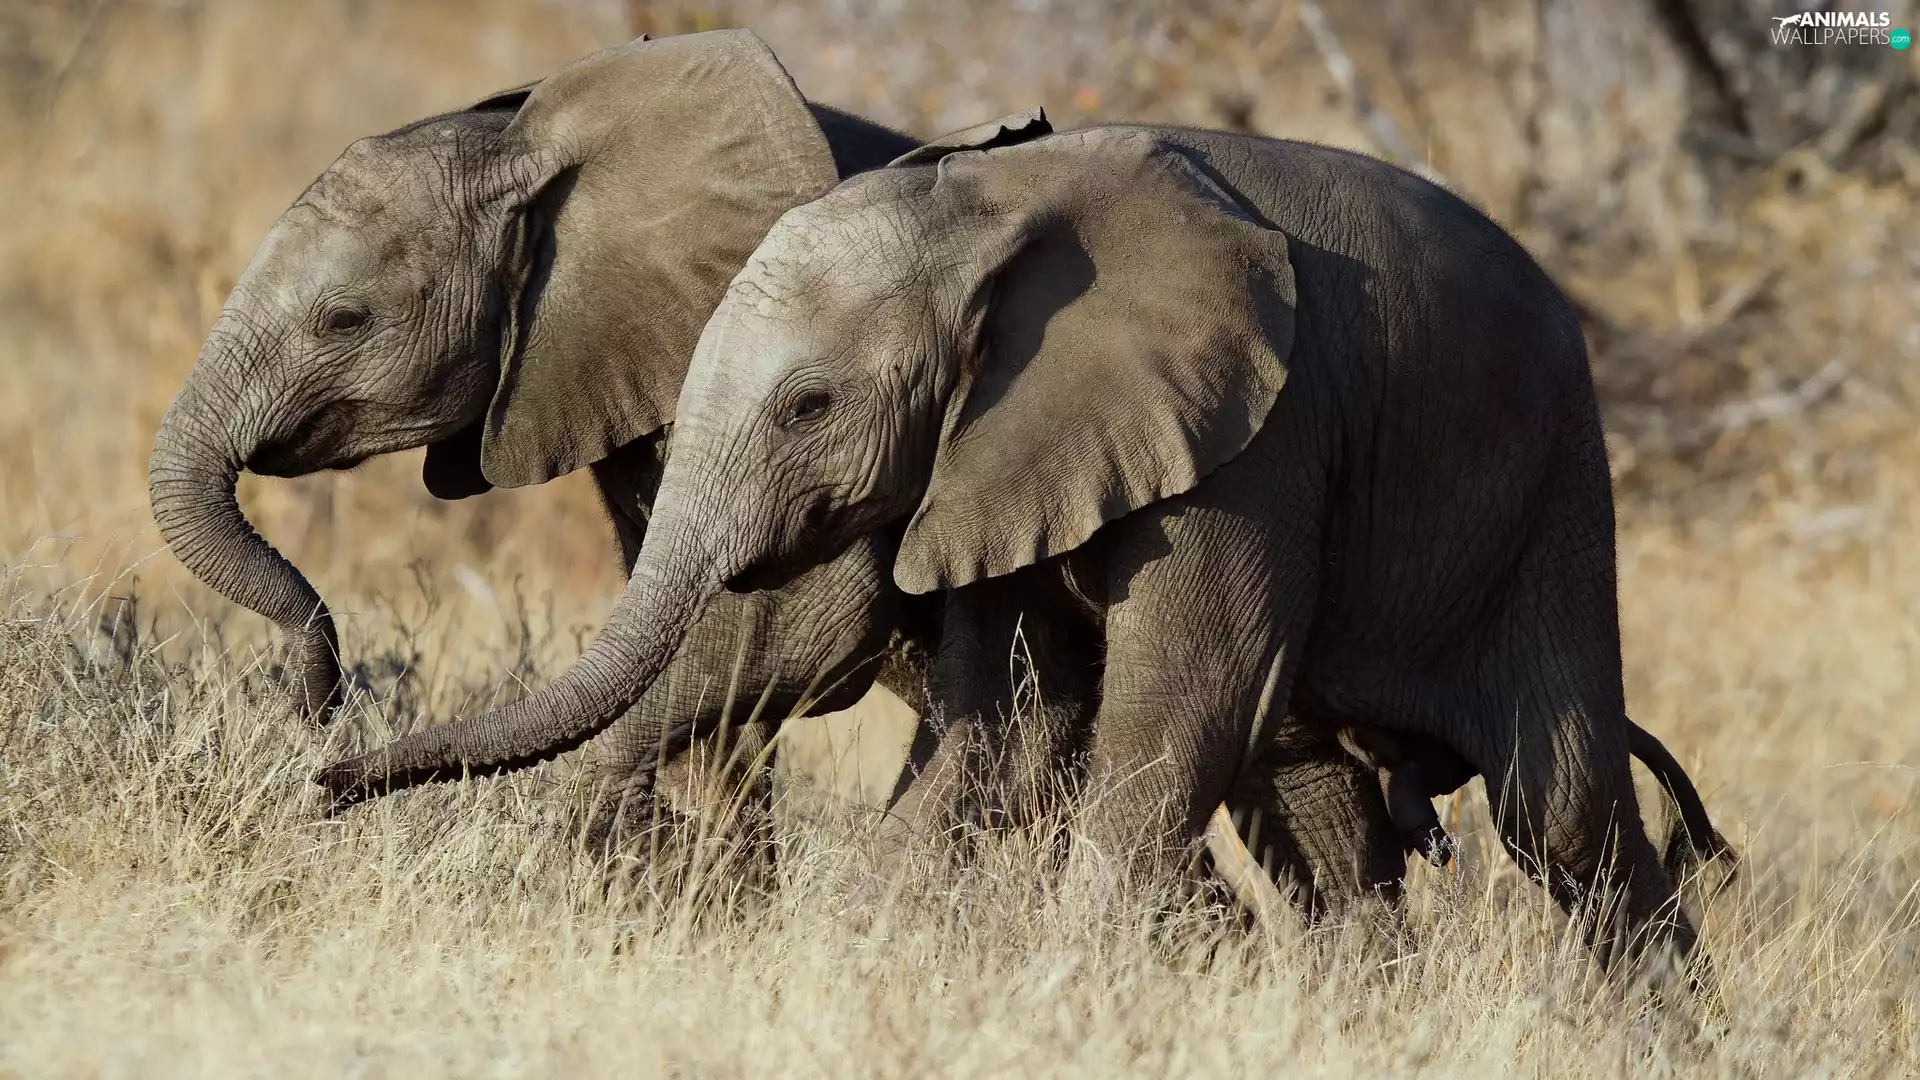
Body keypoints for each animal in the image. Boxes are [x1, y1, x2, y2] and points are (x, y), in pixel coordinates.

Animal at [319, 109, 1733, 966]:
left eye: (808, 406)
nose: (327, 781)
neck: (985, 214)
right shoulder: (993, 460)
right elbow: (1003, 725)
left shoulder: (1259, 440)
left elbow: (1174, 710)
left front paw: (1082, 976)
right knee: (1327, 807)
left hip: (1551, 486)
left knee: (1558, 810)